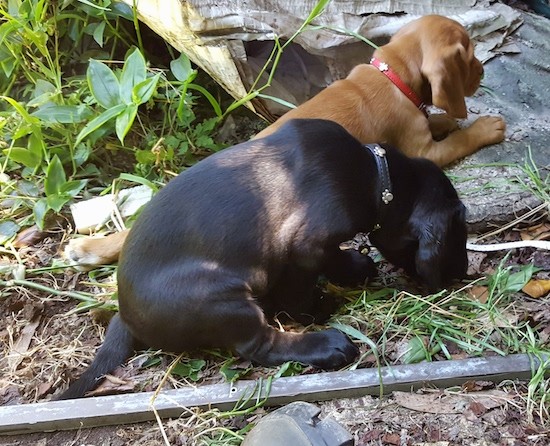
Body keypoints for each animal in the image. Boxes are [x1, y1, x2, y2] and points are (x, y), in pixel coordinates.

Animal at [58, 119, 468, 400]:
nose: (463, 273)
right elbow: (310, 281)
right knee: (259, 345)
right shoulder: (307, 245)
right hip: (221, 296)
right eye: (459, 225)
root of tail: (125, 316)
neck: (376, 175)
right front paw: (322, 302)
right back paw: (326, 345)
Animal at [64, 14, 504, 268]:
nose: (485, 72)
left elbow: (441, 117)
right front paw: (486, 126)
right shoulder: (420, 150)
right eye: (471, 56)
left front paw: (450, 116)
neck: (392, 74)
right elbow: (456, 136)